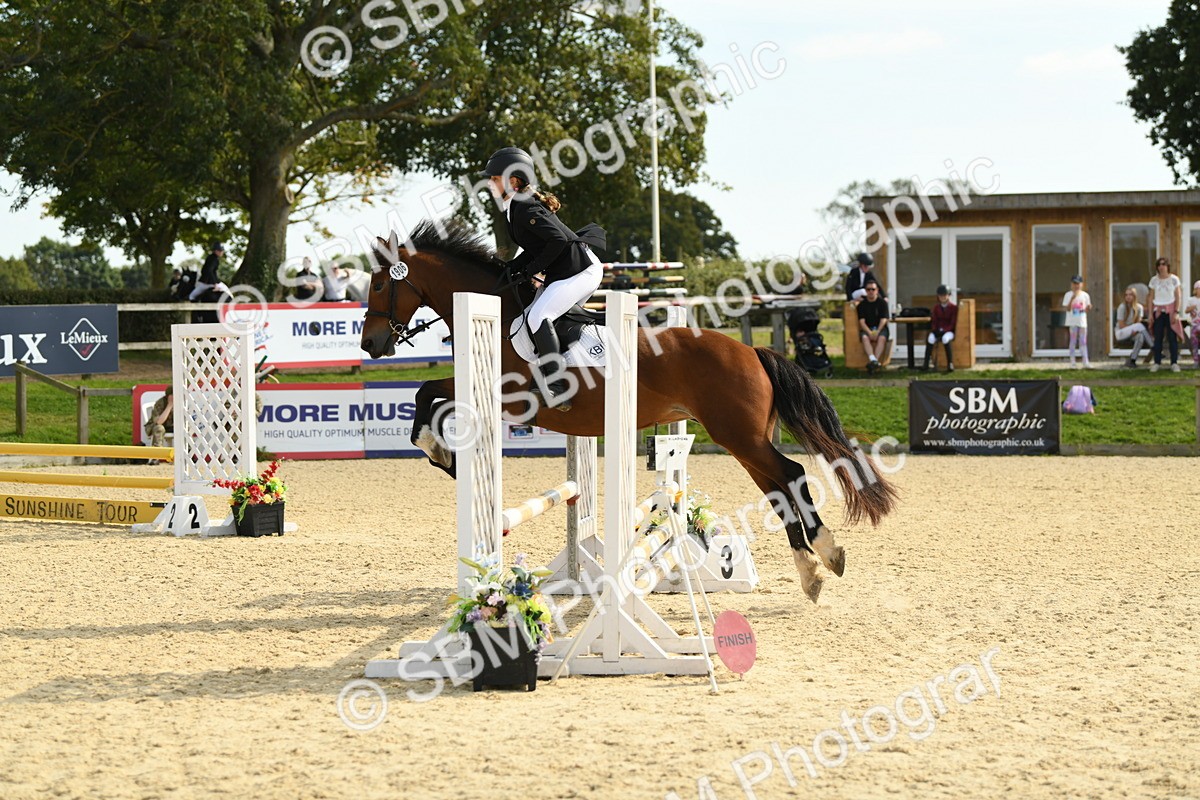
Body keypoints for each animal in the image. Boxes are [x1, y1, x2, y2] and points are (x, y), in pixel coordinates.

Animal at [360, 220, 897, 602]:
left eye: (380, 286)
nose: (371, 345)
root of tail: (751, 350)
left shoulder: (509, 396)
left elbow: (429, 397)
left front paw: (441, 453)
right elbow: (427, 396)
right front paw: (443, 454)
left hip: (739, 436)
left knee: (790, 475)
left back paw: (825, 556)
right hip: (743, 440)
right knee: (779, 486)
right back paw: (813, 570)